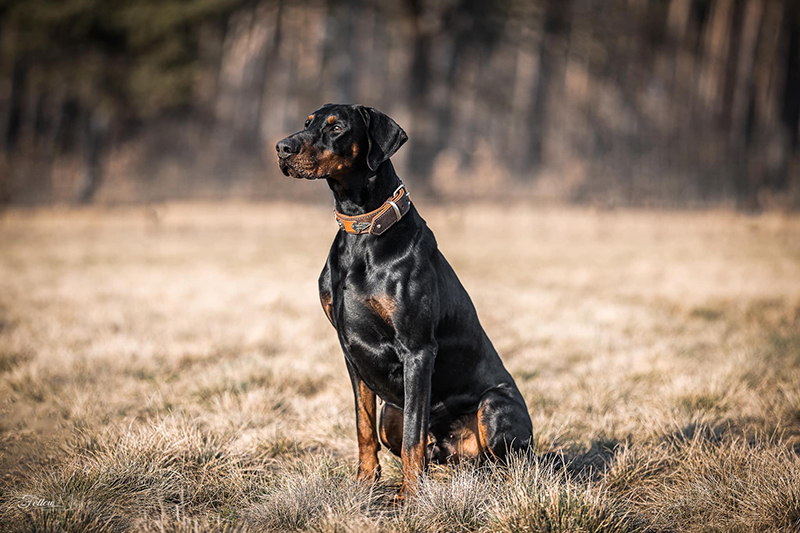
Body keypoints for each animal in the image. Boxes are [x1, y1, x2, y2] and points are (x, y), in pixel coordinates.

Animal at [276, 104, 532, 494]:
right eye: (307, 123)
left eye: (336, 128)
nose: (282, 148)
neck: (362, 232)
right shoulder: (351, 352)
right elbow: (363, 425)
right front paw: (364, 482)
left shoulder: (418, 350)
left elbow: (414, 433)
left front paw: (409, 495)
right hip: (391, 413)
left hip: (493, 406)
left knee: (504, 461)